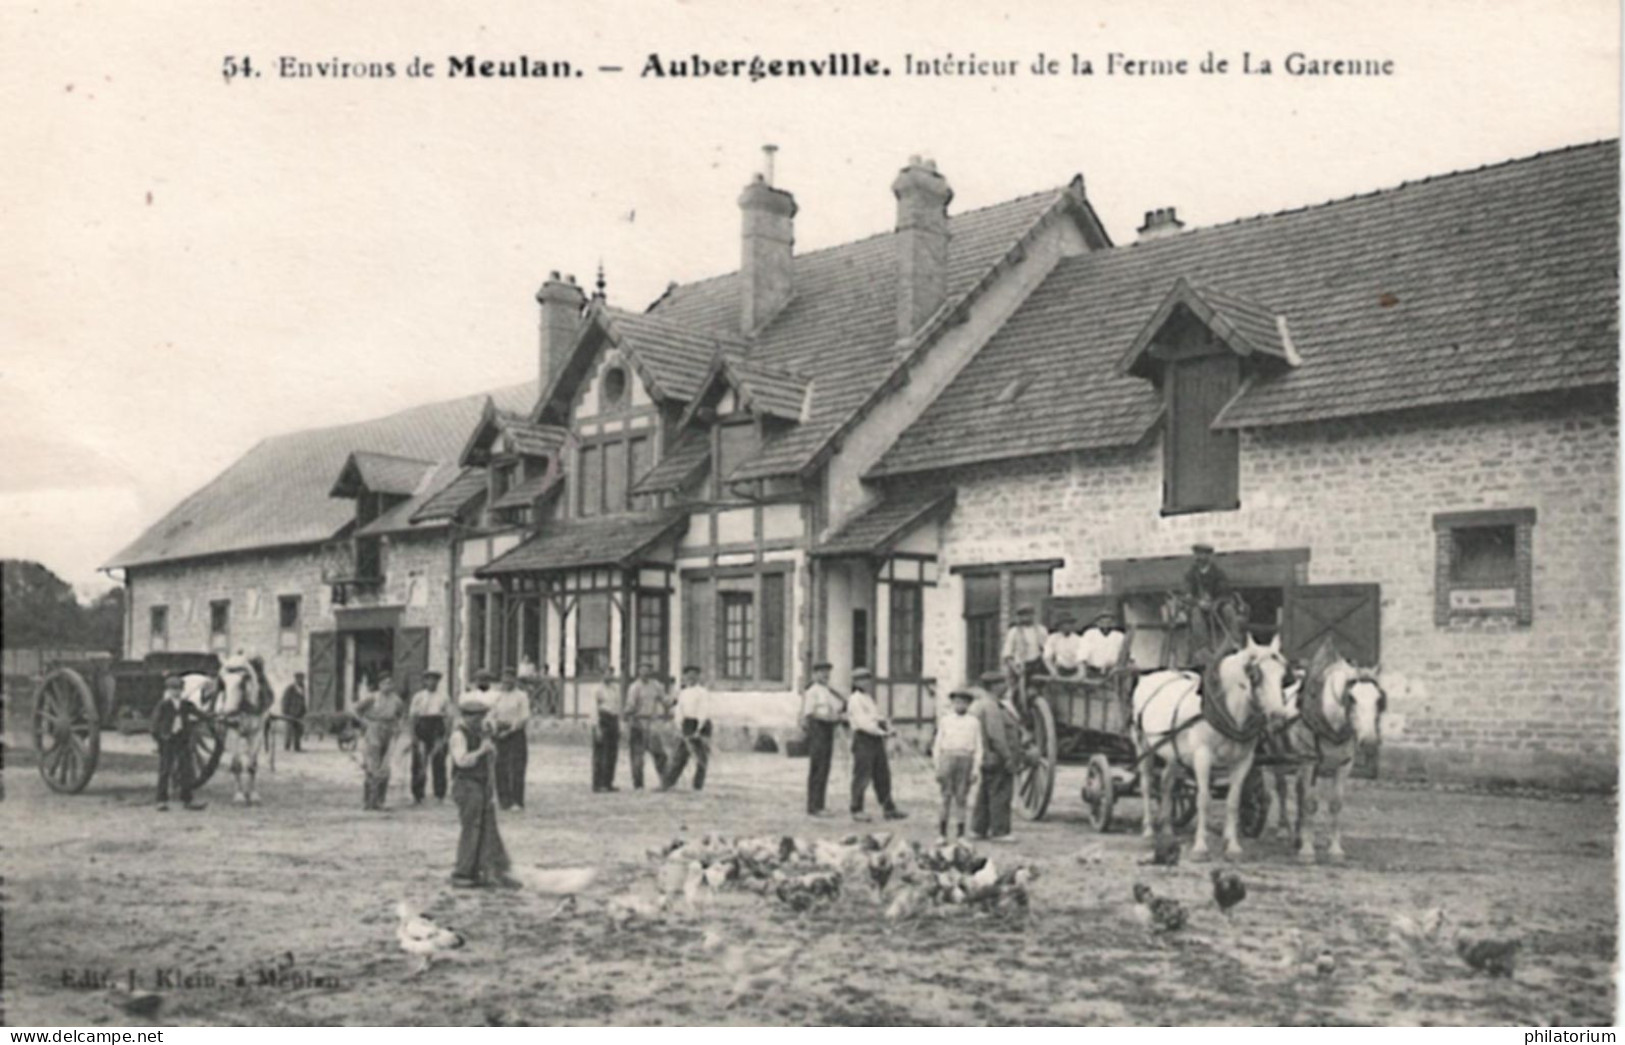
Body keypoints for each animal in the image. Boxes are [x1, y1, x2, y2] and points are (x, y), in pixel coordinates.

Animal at [1137, 633, 1287, 864]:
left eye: (1283, 675)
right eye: (1256, 675)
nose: (1279, 717)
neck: (1226, 711)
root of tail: (1149, 677)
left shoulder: (1243, 761)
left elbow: (1233, 801)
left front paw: (1232, 846)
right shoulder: (1202, 757)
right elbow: (1203, 800)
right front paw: (1200, 847)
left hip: (1172, 753)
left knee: (1167, 784)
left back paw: (1168, 829)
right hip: (1143, 745)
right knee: (1145, 784)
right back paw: (1148, 831)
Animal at [1267, 646, 1384, 864]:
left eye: (1379, 699)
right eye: (1351, 698)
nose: (1370, 741)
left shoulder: (1344, 765)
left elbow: (1335, 804)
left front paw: (1335, 850)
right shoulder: (1309, 763)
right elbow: (1310, 804)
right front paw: (1307, 851)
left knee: (1298, 791)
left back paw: (1298, 834)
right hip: (1277, 758)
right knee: (1282, 789)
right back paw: (1283, 829)